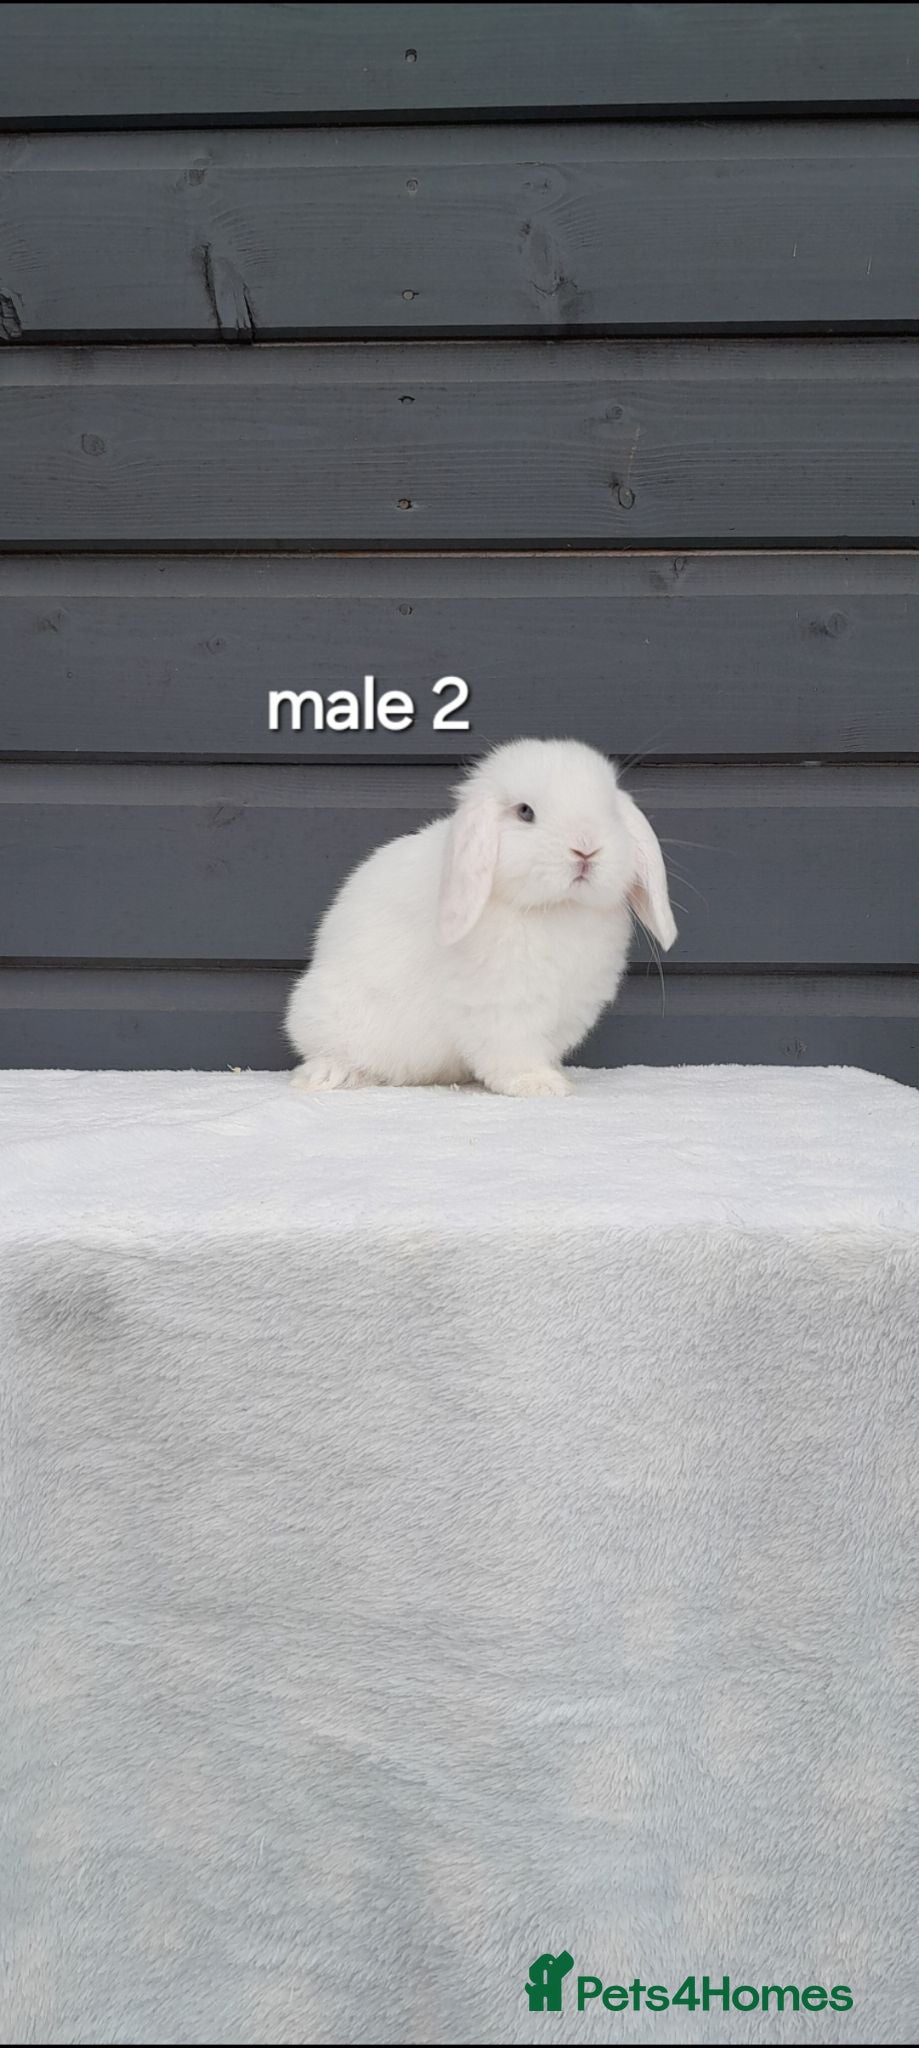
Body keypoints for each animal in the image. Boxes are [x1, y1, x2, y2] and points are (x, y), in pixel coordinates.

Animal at [285, 736, 676, 1098]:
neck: (556, 908)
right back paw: (333, 1075)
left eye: (611, 810)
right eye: (525, 812)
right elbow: (512, 1051)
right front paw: (539, 1085)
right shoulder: (502, 1005)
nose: (586, 849)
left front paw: (553, 1077)